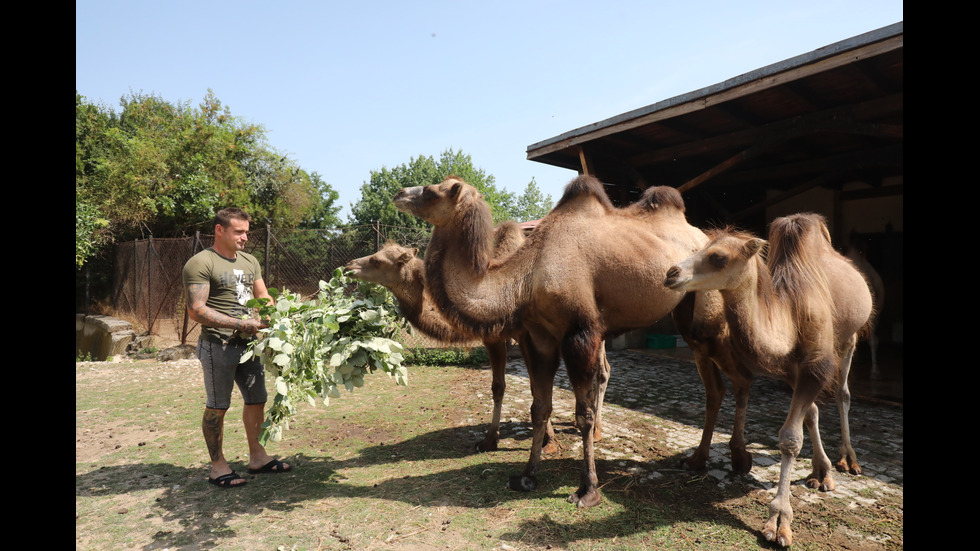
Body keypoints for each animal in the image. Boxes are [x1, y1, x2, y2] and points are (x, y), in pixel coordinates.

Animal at [394, 176, 708, 508]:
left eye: (431, 191)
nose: (399, 193)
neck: (525, 280)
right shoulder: (539, 338)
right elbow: (539, 407)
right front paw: (527, 476)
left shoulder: (579, 335)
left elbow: (583, 415)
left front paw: (588, 490)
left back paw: (699, 460)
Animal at [668, 213, 872, 544]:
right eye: (700, 248)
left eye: (719, 257)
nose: (671, 273)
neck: (790, 318)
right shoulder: (791, 371)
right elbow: (808, 415)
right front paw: (820, 472)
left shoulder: (817, 364)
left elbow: (790, 439)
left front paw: (779, 521)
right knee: (815, 410)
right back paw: (823, 469)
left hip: (849, 338)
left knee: (843, 393)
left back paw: (849, 459)